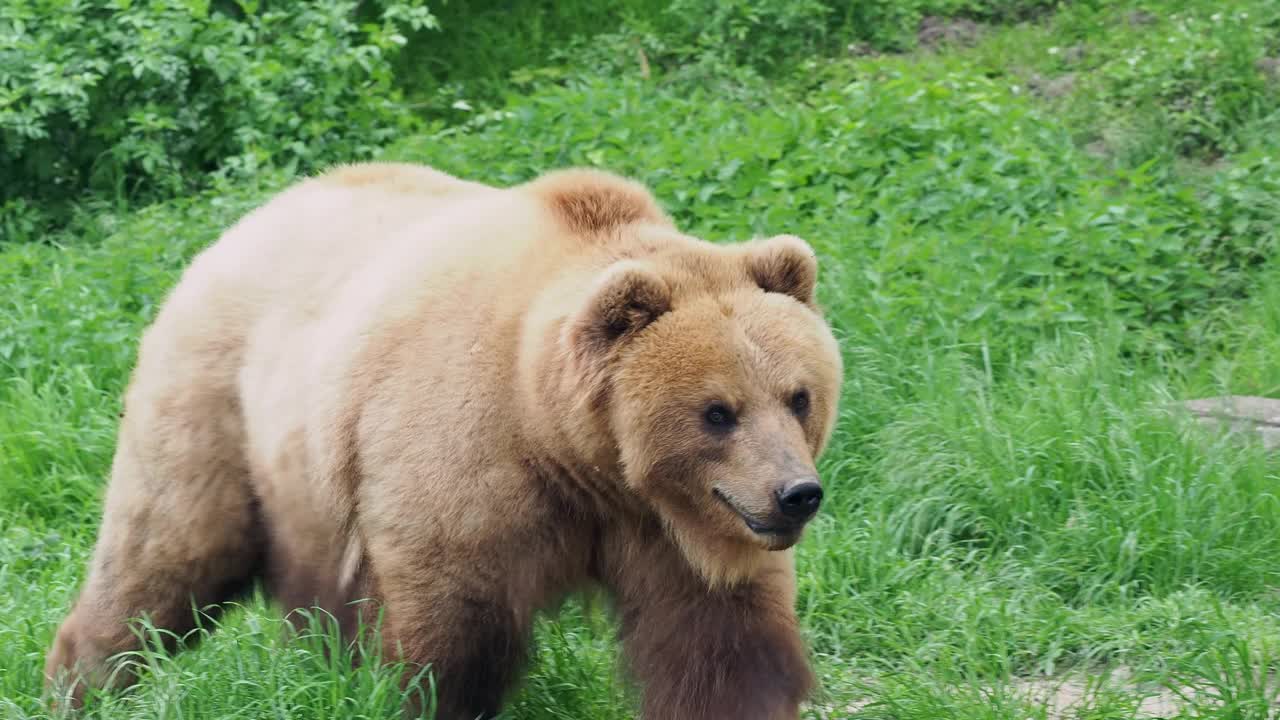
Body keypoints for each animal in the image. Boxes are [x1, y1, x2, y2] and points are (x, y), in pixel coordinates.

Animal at [42, 162, 839, 717]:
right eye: (717, 412)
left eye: (798, 396)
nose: (795, 494)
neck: (571, 448)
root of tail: (242, 224)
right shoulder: (466, 470)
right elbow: (452, 641)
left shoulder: (673, 530)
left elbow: (721, 645)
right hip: (217, 409)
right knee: (164, 555)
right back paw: (82, 683)